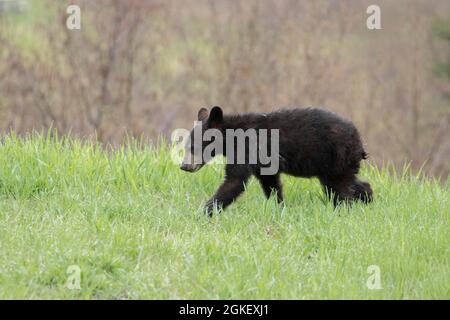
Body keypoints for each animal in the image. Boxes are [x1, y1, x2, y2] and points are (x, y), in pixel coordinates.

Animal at [179, 106, 372, 216]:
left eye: (194, 147)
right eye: (186, 145)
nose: (184, 166)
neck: (231, 136)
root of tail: (360, 140)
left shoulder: (247, 148)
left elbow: (235, 181)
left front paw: (204, 212)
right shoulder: (262, 162)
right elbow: (270, 182)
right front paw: (279, 205)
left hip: (336, 158)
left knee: (340, 189)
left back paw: (343, 211)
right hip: (334, 165)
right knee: (349, 183)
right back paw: (368, 197)